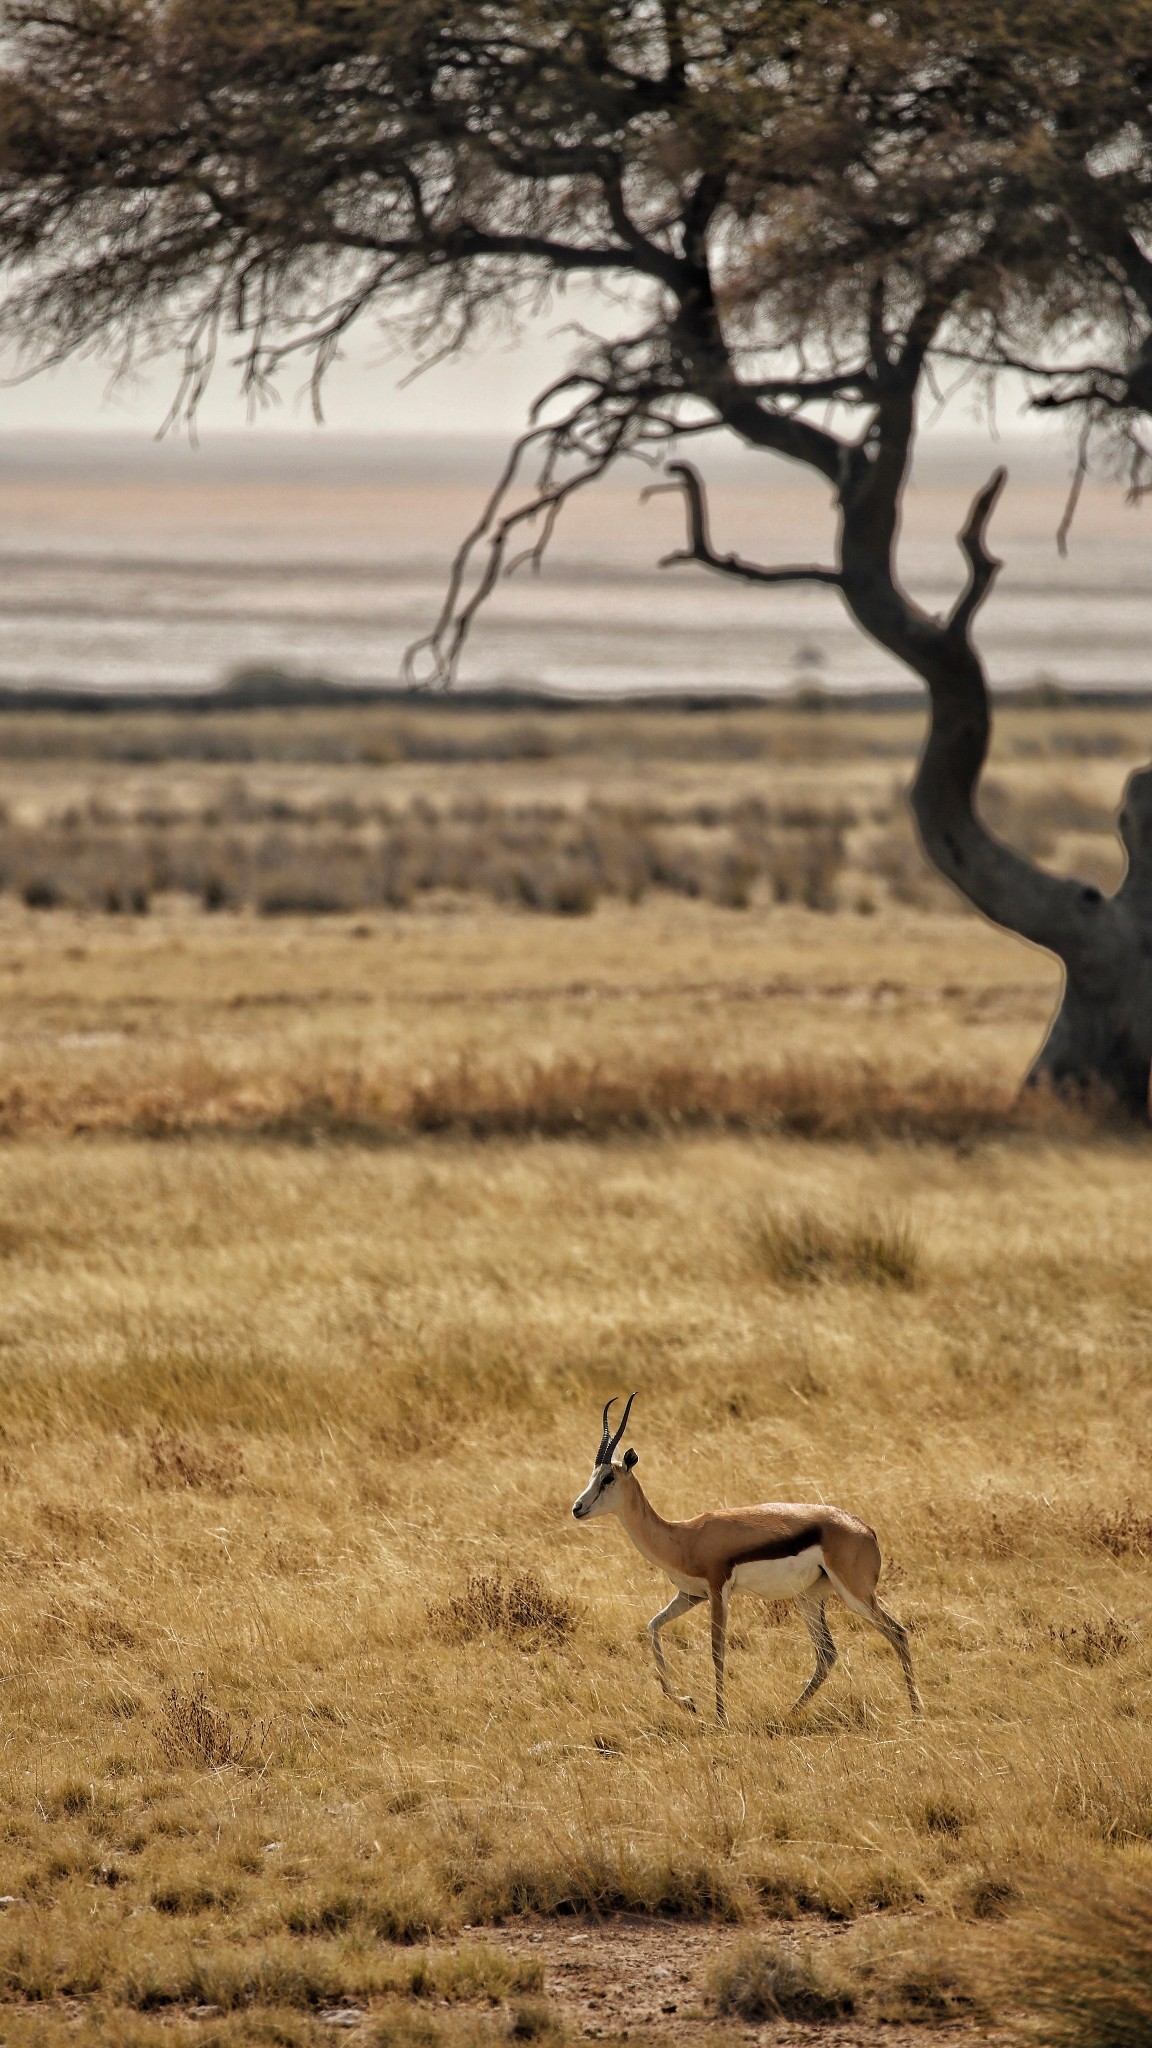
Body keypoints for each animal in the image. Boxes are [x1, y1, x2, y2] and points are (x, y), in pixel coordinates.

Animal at [569, 1392, 918, 1728]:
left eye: (608, 1478)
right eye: (592, 1475)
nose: (577, 1508)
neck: (683, 1537)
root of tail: (866, 1529)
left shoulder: (717, 1592)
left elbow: (717, 1651)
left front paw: (719, 1718)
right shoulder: (691, 1595)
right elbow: (653, 1627)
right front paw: (687, 1702)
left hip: (855, 1595)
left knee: (898, 1633)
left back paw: (916, 1712)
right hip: (808, 1597)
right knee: (827, 1654)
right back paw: (788, 1713)